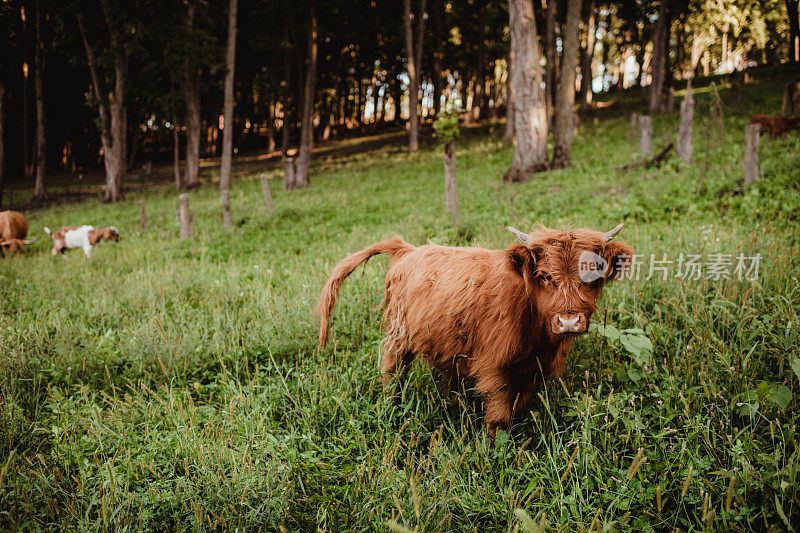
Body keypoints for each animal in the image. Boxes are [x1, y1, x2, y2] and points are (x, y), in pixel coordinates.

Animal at [316, 222, 636, 434]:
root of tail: (409, 250)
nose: (569, 321)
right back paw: (393, 406)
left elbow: (520, 403)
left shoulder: (535, 367)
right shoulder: (493, 366)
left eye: (592, 275)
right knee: (392, 369)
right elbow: (499, 415)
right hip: (399, 332)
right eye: (545, 277)